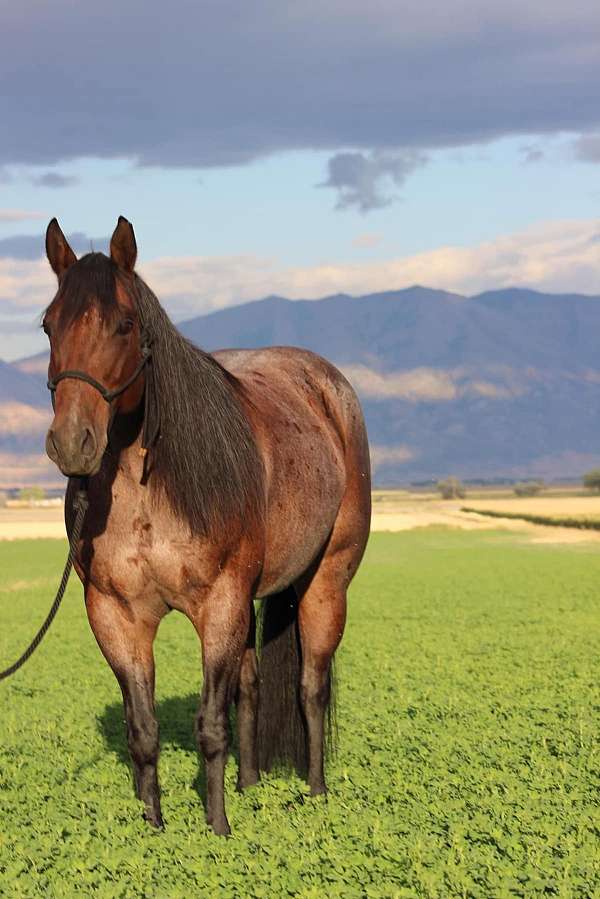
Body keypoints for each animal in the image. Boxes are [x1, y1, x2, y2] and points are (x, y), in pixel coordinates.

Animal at [42, 218, 370, 836]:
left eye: (125, 325)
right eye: (48, 324)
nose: (73, 442)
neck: (150, 491)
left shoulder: (219, 604)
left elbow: (210, 725)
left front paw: (217, 831)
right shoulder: (115, 616)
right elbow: (143, 733)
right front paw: (155, 828)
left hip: (325, 582)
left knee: (311, 687)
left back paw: (315, 794)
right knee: (252, 687)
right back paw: (250, 784)